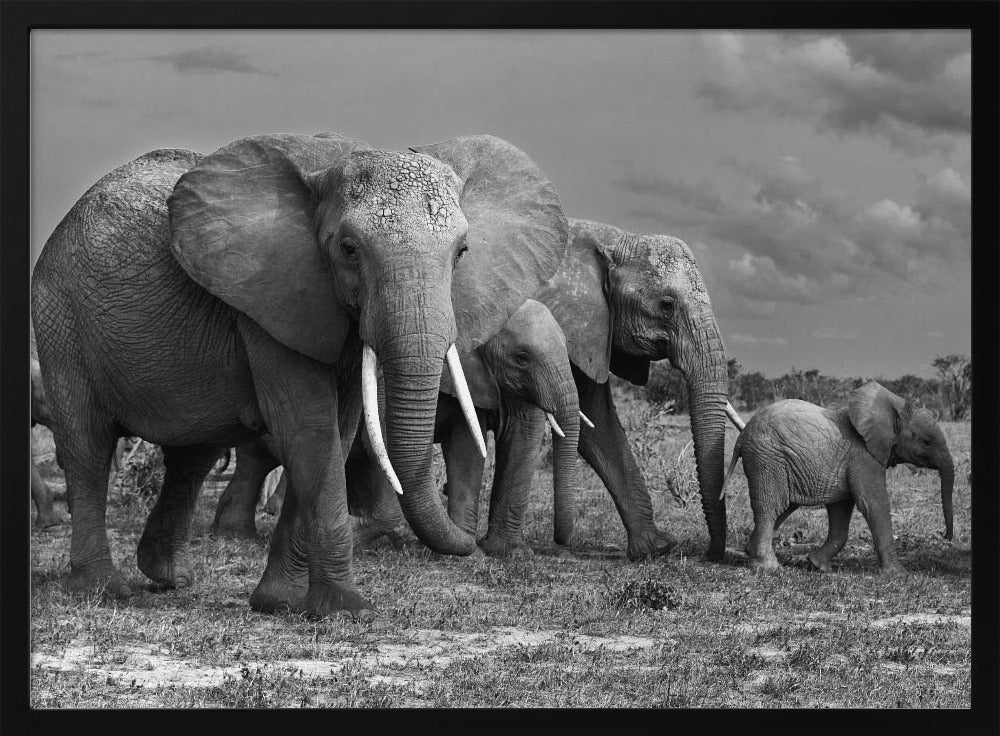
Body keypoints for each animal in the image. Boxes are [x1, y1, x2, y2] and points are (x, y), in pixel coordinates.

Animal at [212, 298, 586, 558]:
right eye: (521, 358)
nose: (564, 542)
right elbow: (385, 445)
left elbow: (470, 447)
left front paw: (482, 553)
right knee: (260, 458)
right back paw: (237, 535)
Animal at [525, 219, 741, 561]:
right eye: (666, 305)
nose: (710, 554)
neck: (611, 240)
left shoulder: (590, 328)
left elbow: (596, 423)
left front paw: (656, 548)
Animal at [719, 381, 955, 575]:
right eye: (926, 442)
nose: (946, 536)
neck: (893, 407)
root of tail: (742, 436)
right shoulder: (863, 457)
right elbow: (873, 504)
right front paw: (899, 574)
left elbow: (841, 509)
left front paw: (817, 565)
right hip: (767, 460)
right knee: (771, 506)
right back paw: (769, 567)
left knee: (784, 507)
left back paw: (750, 552)